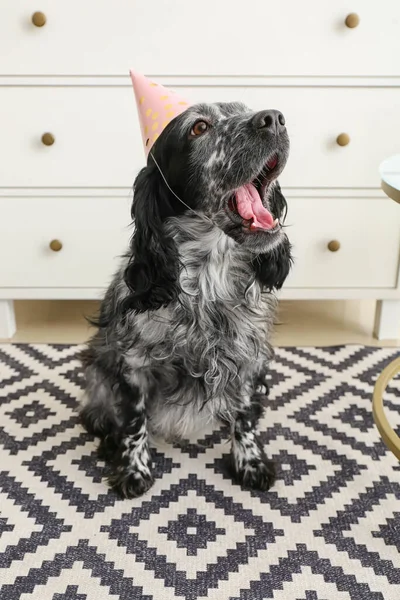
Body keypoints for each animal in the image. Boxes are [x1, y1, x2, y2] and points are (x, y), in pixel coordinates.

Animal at [79, 102, 292, 496]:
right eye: (199, 128)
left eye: (244, 109)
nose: (274, 118)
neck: (207, 282)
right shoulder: (133, 365)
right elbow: (133, 421)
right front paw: (133, 469)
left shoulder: (249, 361)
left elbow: (245, 417)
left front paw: (251, 462)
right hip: (99, 358)